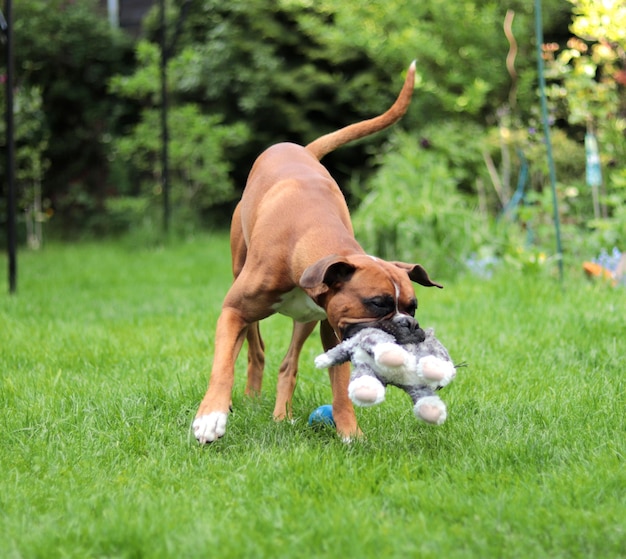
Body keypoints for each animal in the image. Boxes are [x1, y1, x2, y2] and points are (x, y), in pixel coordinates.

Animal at [193, 61, 442, 444]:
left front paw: (350, 431)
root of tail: (303, 149)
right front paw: (211, 416)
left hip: (306, 320)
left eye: (413, 306)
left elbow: (340, 387)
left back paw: (281, 416)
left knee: (287, 364)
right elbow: (222, 365)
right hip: (241, 280)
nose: (410, 325)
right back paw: (248, 397)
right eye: (378, 303)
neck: (311, 239)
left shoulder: (334, 330)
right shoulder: (233, 310)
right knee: (253, 346)